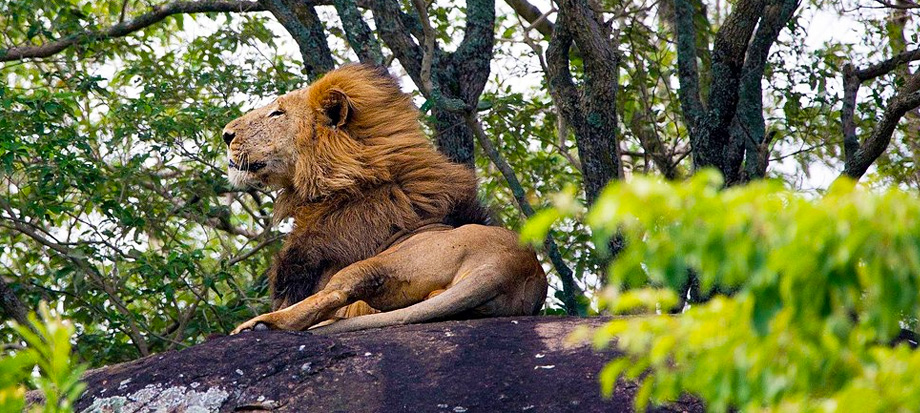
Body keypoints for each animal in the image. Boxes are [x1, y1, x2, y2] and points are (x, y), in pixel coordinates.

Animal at [222, 64, 547, 335]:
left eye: (277, 113)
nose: (226, 134)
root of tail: (506, 268)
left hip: (387, 262)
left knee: (336, 293)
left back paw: (259, 325)